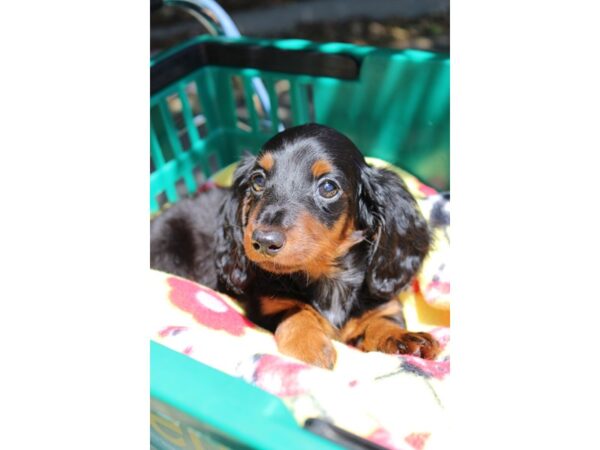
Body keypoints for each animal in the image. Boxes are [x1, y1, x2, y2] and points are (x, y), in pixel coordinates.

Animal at [151, 124, 440, 370]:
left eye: (328, 187)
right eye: (258, 180)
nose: (264, 241)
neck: (328, 276)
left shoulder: (381, 306)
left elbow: (381, 321)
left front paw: (406, 338)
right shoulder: (268, 305)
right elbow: (297, 311)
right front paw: (309, 347)